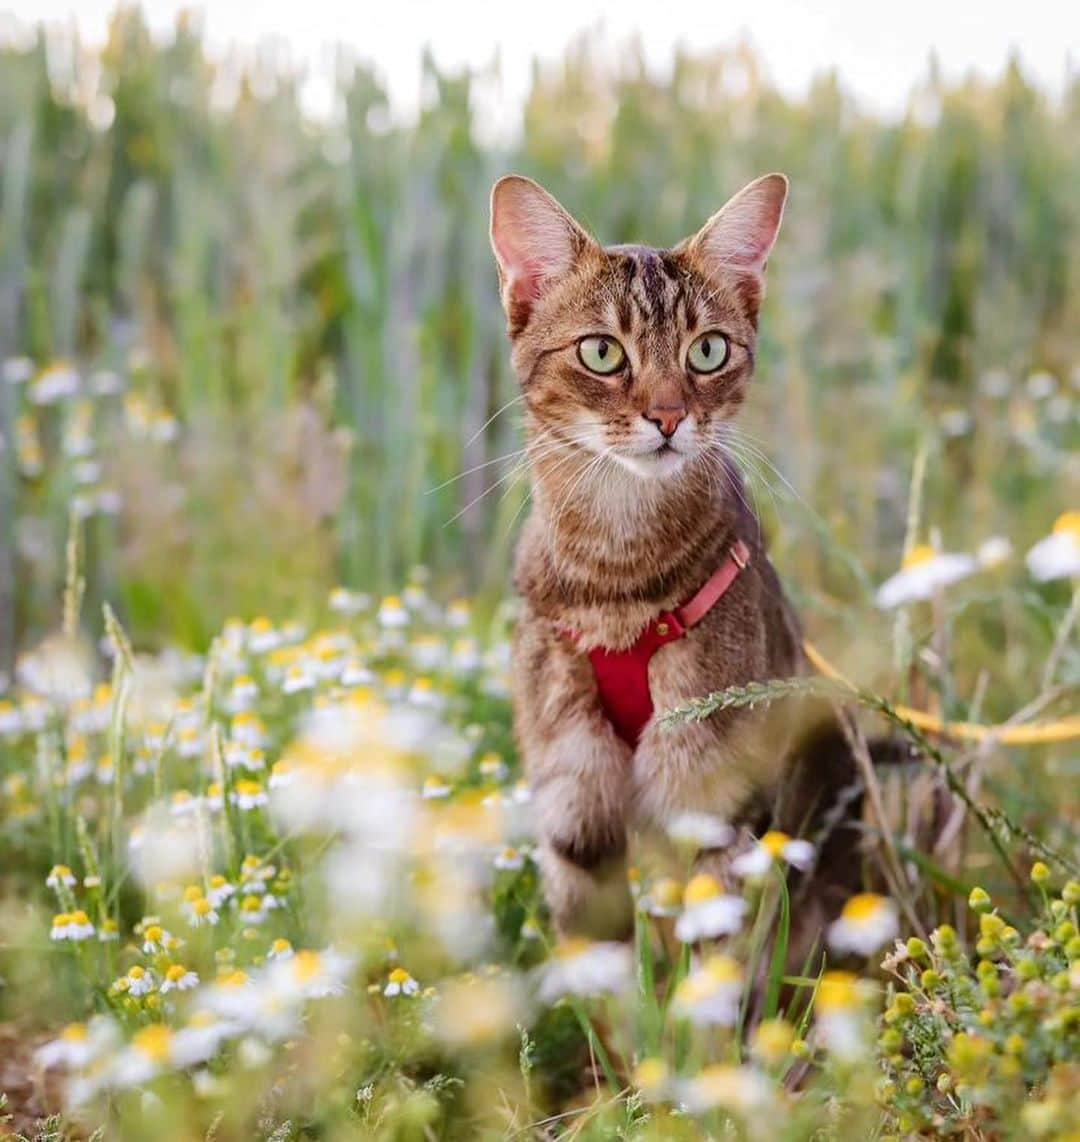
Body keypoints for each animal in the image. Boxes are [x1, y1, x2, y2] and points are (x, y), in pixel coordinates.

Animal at [488, 173, 867, 950]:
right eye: (602, 353)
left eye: (708, 350)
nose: (667, 417)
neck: (616, 580)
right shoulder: (574, 809)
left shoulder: (719, 810)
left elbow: (719, 971)